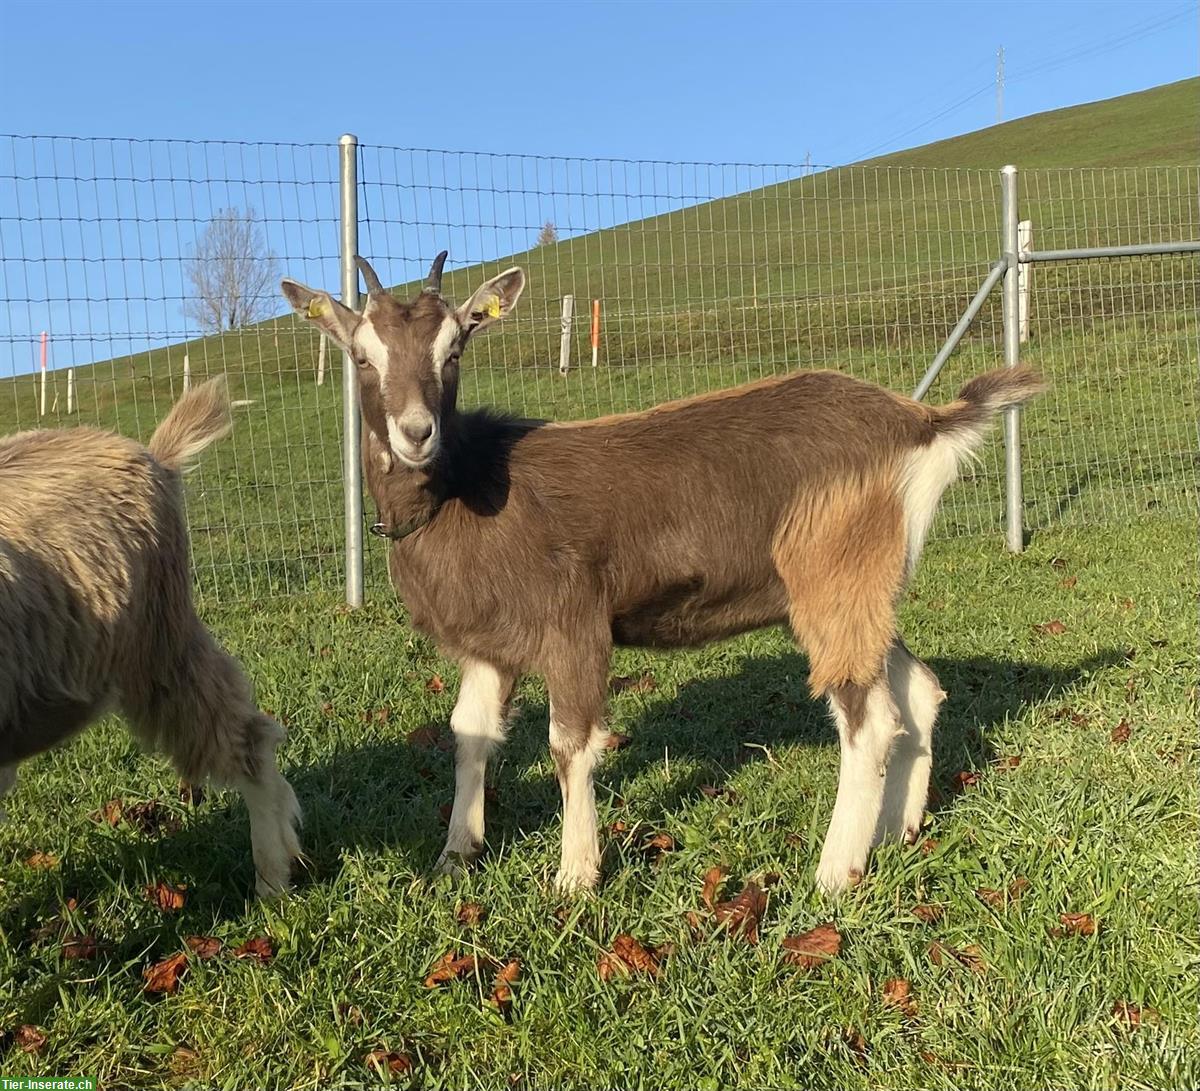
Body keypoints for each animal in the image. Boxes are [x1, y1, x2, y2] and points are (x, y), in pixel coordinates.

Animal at [280, 255, 1041, 892]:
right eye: (362, 355)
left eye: (454, 349)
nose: (416, 433)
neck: (469, 484)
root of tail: (920, 421)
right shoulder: (489, 644)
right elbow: (471, 734)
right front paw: (456, 853)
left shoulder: (574, 624)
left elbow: (570, 744)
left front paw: (575, 876)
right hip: (858, 587)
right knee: (920, 690)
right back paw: (897, 830)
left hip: (832, 574)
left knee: (869, 717)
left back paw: (834, 870)